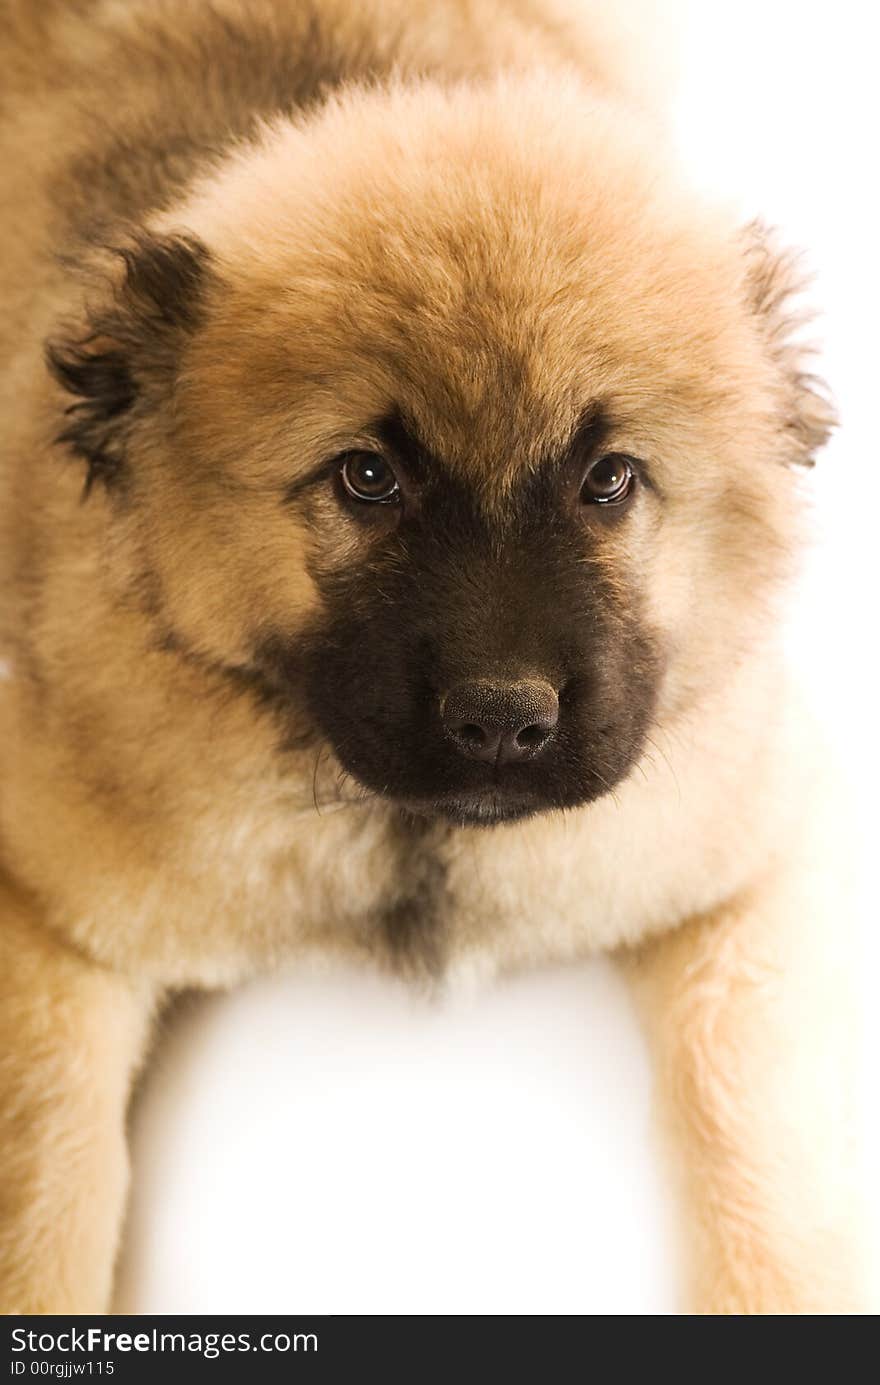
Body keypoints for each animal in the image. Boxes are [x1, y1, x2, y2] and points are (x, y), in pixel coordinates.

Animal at [0, 0, 870, 1312]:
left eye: (608, 478)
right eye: (368, 475)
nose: (502, 719)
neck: (414, 842)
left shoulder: (755, 852)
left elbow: (755, 1131)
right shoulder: (46, 915)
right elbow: (49, 1195)